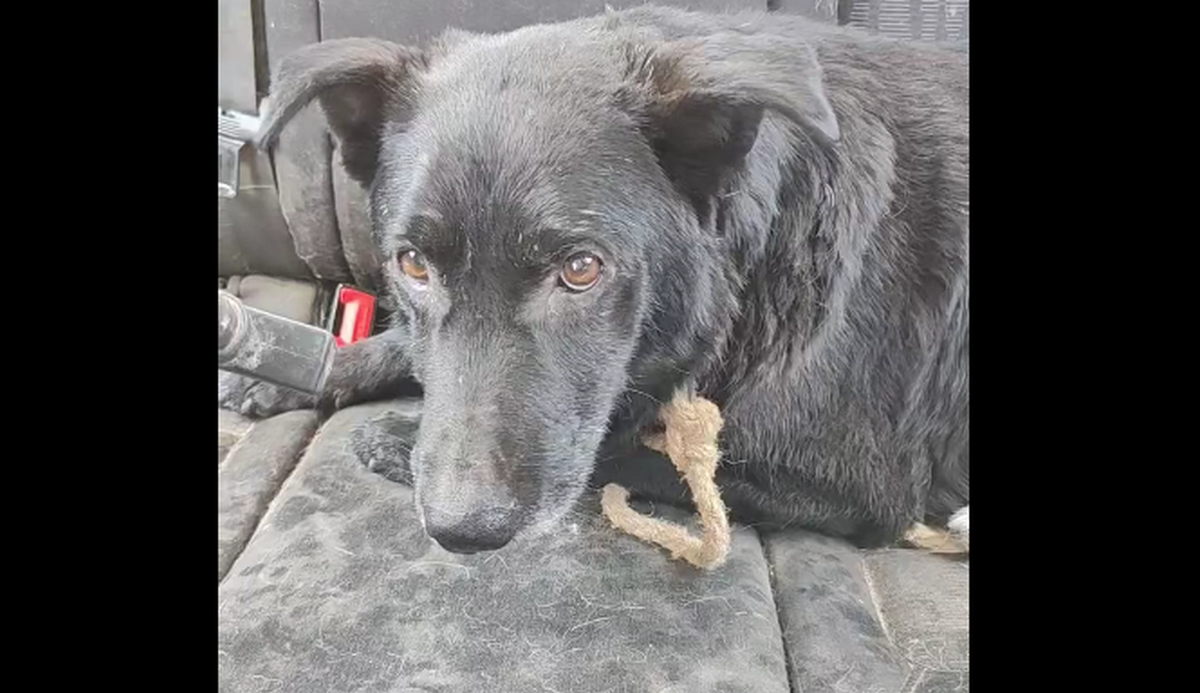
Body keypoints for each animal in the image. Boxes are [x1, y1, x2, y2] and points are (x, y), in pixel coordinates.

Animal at [229, 5, 969, 553]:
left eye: (580, 269)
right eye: (413, 264)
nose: (462, 530)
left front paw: (394, 436)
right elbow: (400, 343)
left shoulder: (847, 485)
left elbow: (627, 451)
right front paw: (303, 364)